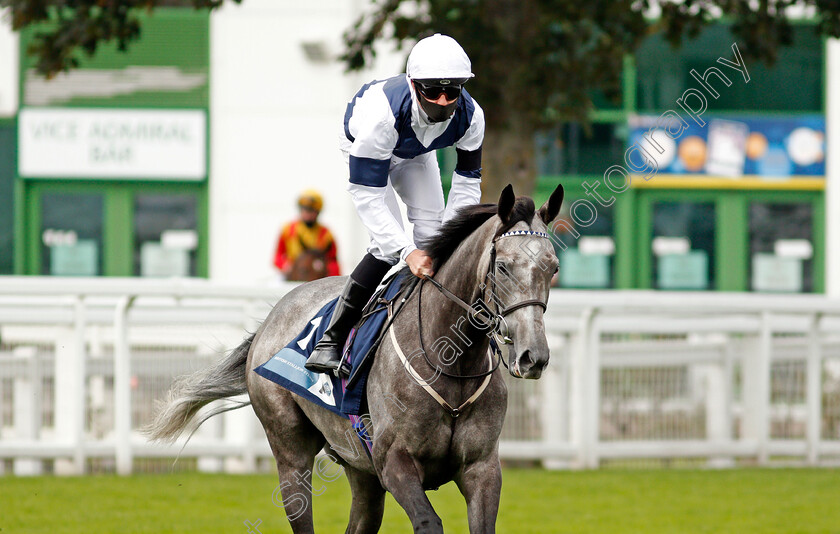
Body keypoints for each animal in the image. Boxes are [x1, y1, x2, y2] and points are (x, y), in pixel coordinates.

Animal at [147, 182, 564, 532]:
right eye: (503, 267)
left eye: (553, 267)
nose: (533, 356)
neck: (450, 363)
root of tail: (270, 319)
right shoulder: (394, 462)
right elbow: (429, 523)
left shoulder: (482, 467)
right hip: (290, 451)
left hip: (360, 469)